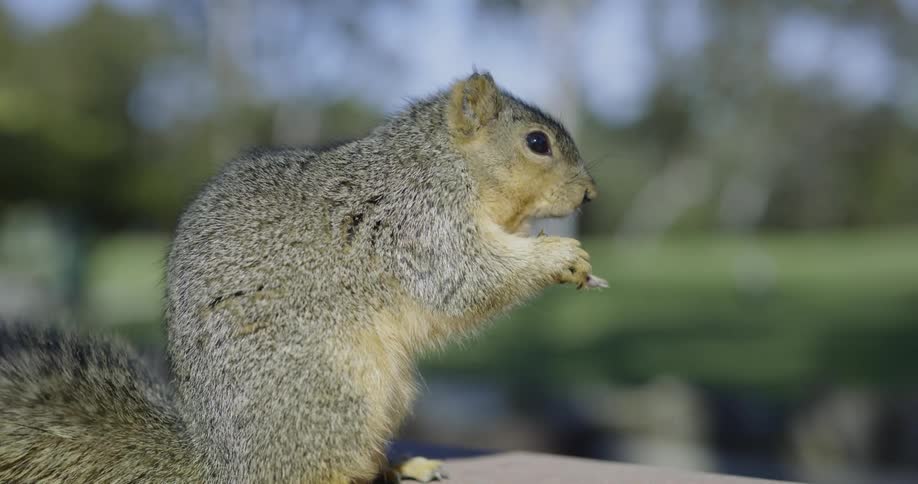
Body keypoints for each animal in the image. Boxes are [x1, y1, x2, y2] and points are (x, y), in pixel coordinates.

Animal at [0, 72, 604, 483]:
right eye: (536, 142)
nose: (590, 194)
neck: (443, 166)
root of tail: (223, 465)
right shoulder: (417, 226)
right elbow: (464, 279)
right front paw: (557, 255)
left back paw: (400, 465)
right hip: (335, 389)